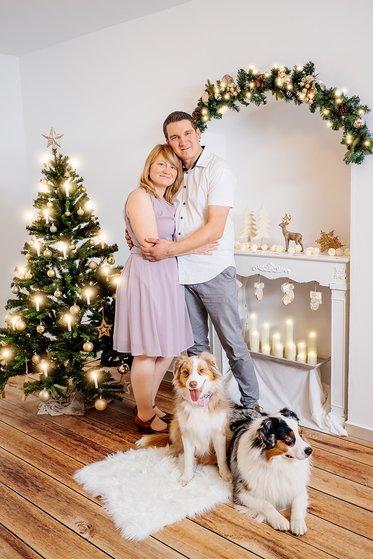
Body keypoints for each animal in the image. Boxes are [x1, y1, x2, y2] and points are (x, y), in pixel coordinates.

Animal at [135, 354, 231, 486]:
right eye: (185, 372)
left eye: (201, 371)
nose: (193, 383)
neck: (198, 405)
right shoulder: (187, 434)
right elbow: (188, 458)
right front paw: (186, 476)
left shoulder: (218, 433)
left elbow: (221, 457)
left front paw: (225, 474)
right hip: (175, 425)